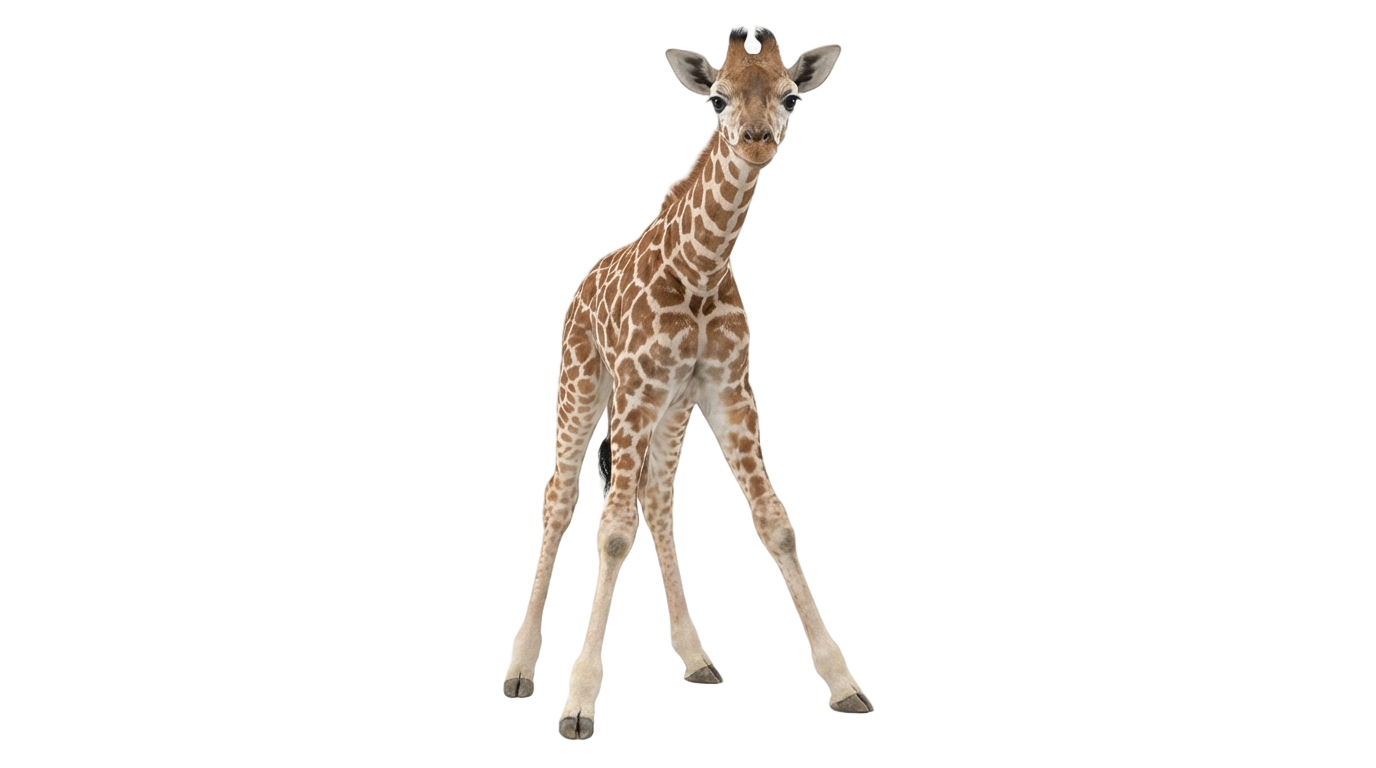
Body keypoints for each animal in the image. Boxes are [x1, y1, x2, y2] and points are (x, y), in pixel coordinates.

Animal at [499, 27, 870, 740]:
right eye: (717, 99)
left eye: (791, 96)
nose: (757, 139)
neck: (699, 271)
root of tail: (578, 291)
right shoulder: (636, 390)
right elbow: (610, 532)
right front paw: (579, 707)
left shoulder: (728, 390)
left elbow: (774, 521)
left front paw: (845, 686)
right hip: (583, 390)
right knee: (558, 502)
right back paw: (519, 672)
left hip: (669, 412)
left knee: (657, 505)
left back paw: (697, 660)